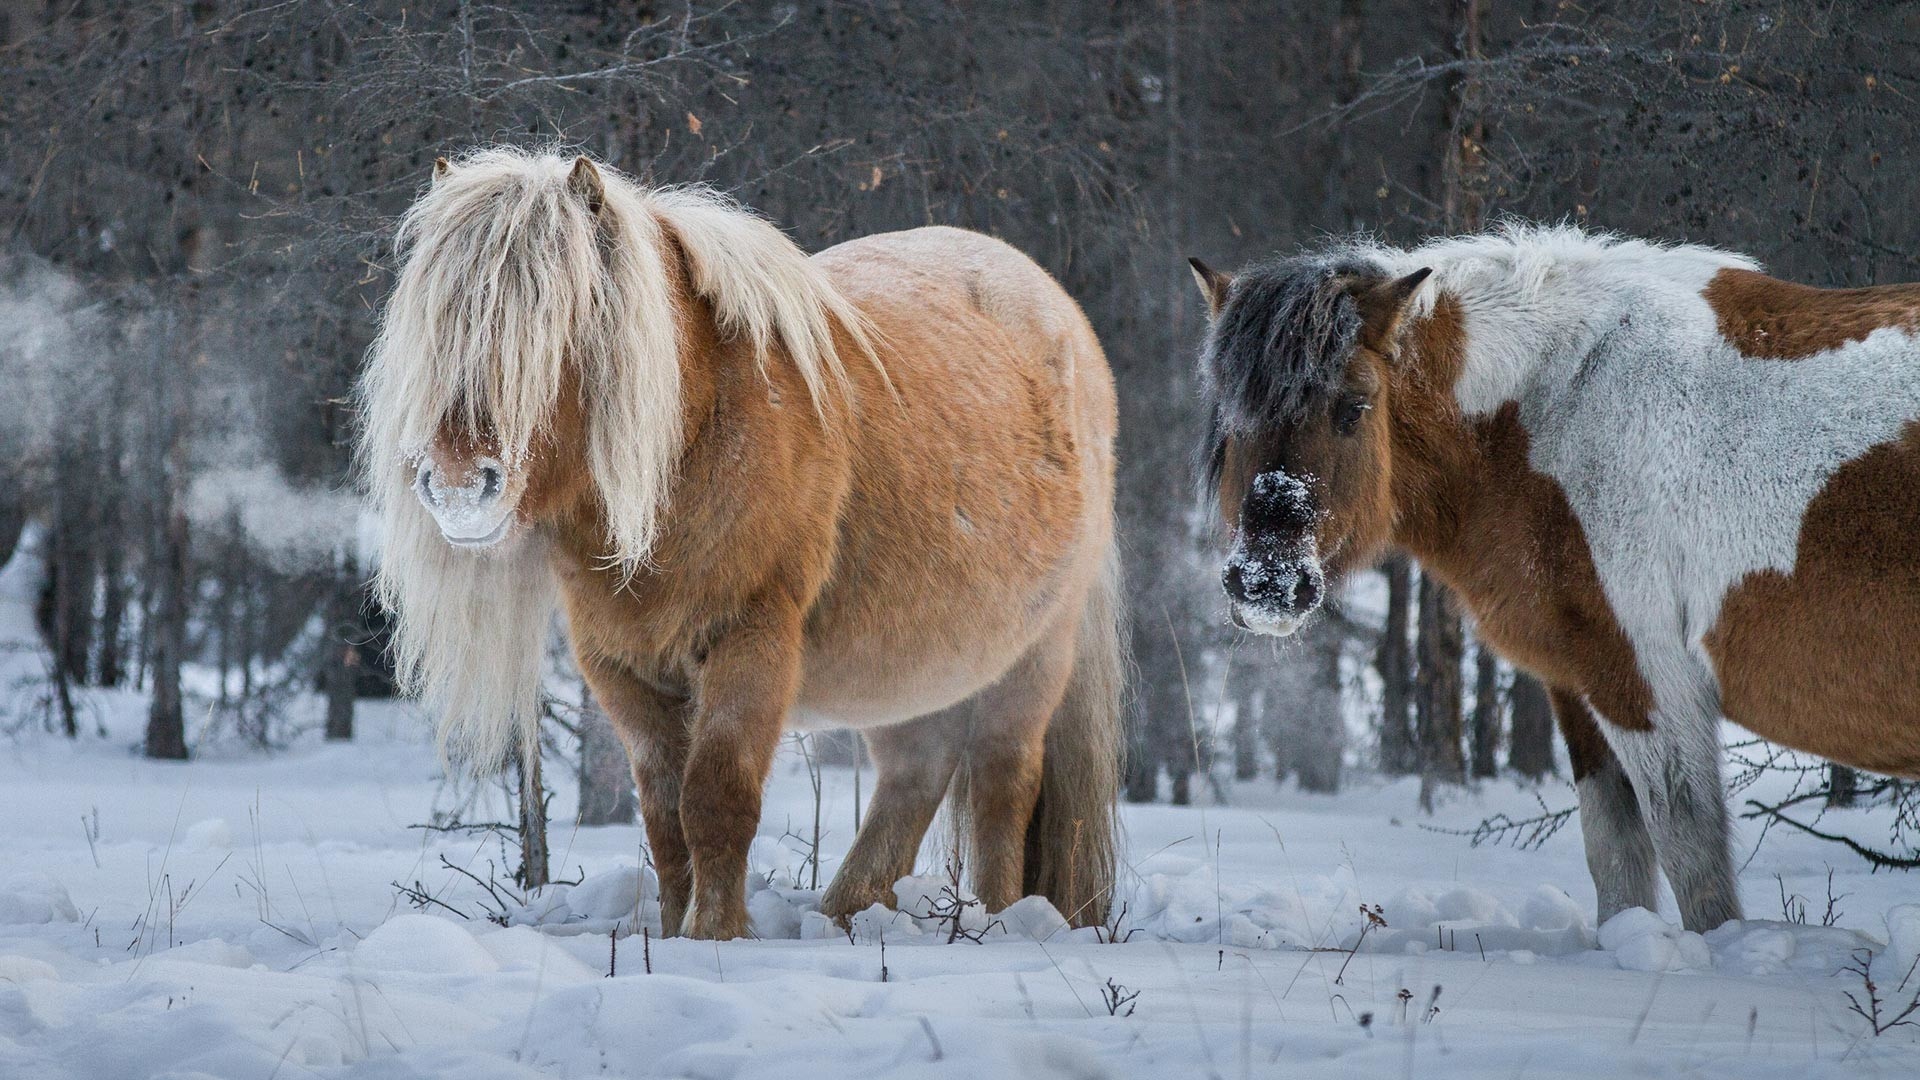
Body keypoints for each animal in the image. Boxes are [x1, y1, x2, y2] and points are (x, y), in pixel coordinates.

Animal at [360, 147, 1121, 937]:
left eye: (557, 324)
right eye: (435, 327)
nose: (457, 484)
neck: (694, 442)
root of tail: (1065, 322)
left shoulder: (750, 643)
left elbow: (717, 802)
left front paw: (716, 937)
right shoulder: (621, 668)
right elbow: (666, 818)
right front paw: (671, 937)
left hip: (1035, 652)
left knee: (1005, 780)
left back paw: (1002, 923)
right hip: (917, 663)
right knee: (918, 768)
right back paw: (849, 913)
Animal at [1190, 222, 1920, 930]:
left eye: (1354, 406)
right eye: (1230, 416)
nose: (1267, 583)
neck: (1556, 408)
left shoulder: (1646, 682)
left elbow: (1692, 861)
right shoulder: (1580, 685)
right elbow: (1617, 858)